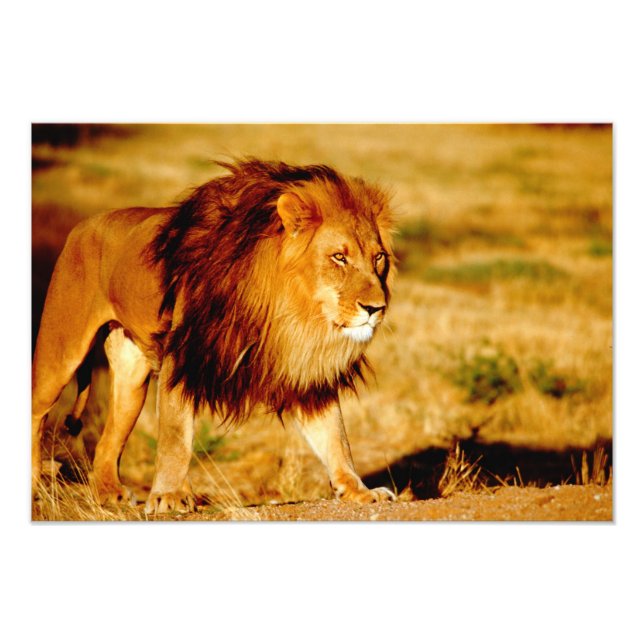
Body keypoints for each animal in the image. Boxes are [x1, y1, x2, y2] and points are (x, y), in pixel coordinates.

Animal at [32, 158, 396, 513]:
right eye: (339, 257)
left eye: (378, 257)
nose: (376, 308)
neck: (292, 312)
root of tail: (86, 223)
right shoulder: (182, 356)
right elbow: (176, 436)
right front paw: (168, 495)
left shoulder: (305, 372)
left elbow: (336, 437)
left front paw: (359, 490)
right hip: (60, 354)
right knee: (37, 412)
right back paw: (36, 487)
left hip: (131, 382)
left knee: (108, 440)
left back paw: (108, 493)